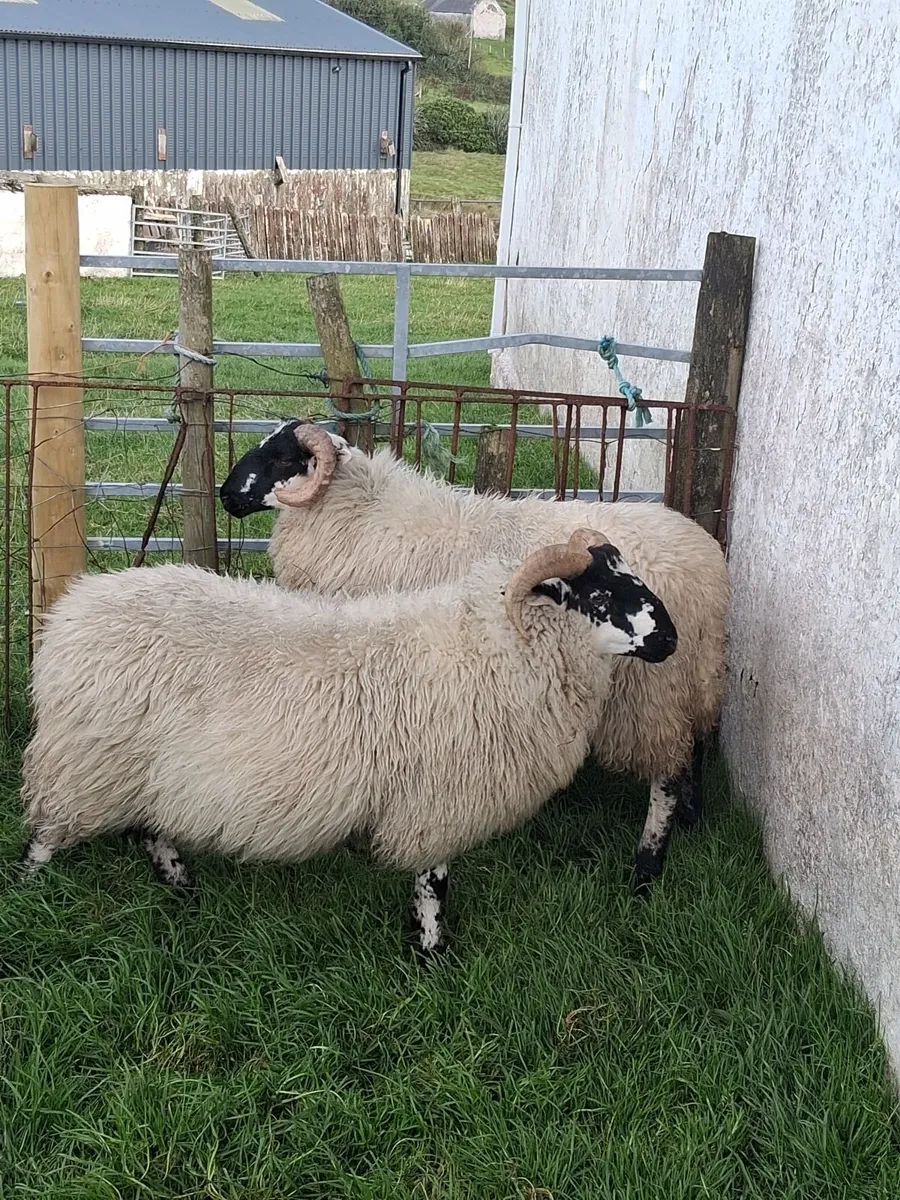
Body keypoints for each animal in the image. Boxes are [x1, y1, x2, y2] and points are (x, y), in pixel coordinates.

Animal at [19, 530, 677, 955]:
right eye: (599, 597)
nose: (670, 639)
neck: (497, 645)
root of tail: (69, 616)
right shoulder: (436, 802)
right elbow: (433, 884)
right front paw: (432, 954)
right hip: (86, 764)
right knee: (47, 833)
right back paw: (30, 891)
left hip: (139, 772)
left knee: (151, 830)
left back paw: (183, 890)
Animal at [219, 421, 730, 889]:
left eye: (283, 458)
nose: (226, 496)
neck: (356, 512)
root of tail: (709, 570)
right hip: (695, 678)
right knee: (696, 745)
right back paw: (692, 818)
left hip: (650, 692)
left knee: (666, 774)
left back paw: (646, 867)